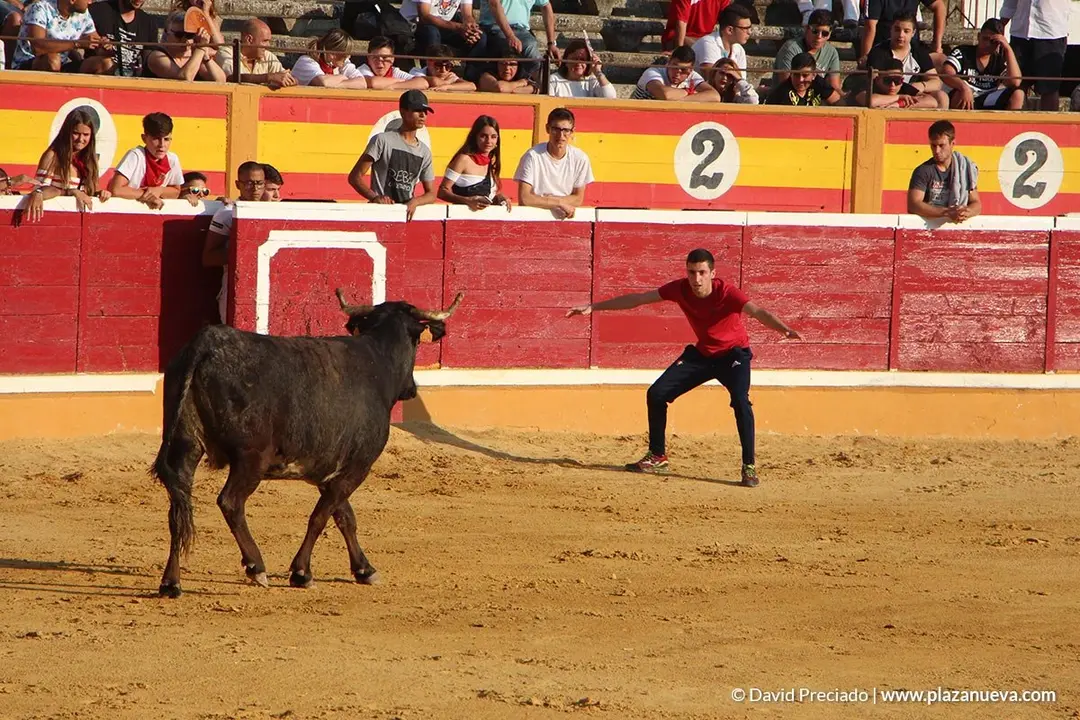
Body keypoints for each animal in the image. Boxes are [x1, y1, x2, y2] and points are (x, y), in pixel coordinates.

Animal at [150, 289, 464, 598]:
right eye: (416, 342)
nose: (411, 389)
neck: (377, 362)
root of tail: (205, 344)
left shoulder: (329, 470)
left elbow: (344, 517)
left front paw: (364, 570)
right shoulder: (357, 467)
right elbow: (321, 516)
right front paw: (302, 573)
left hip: (185, 446)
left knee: (178, 508)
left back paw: (171, 583)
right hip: (250, 458)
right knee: (230, 502)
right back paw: (256, 566)